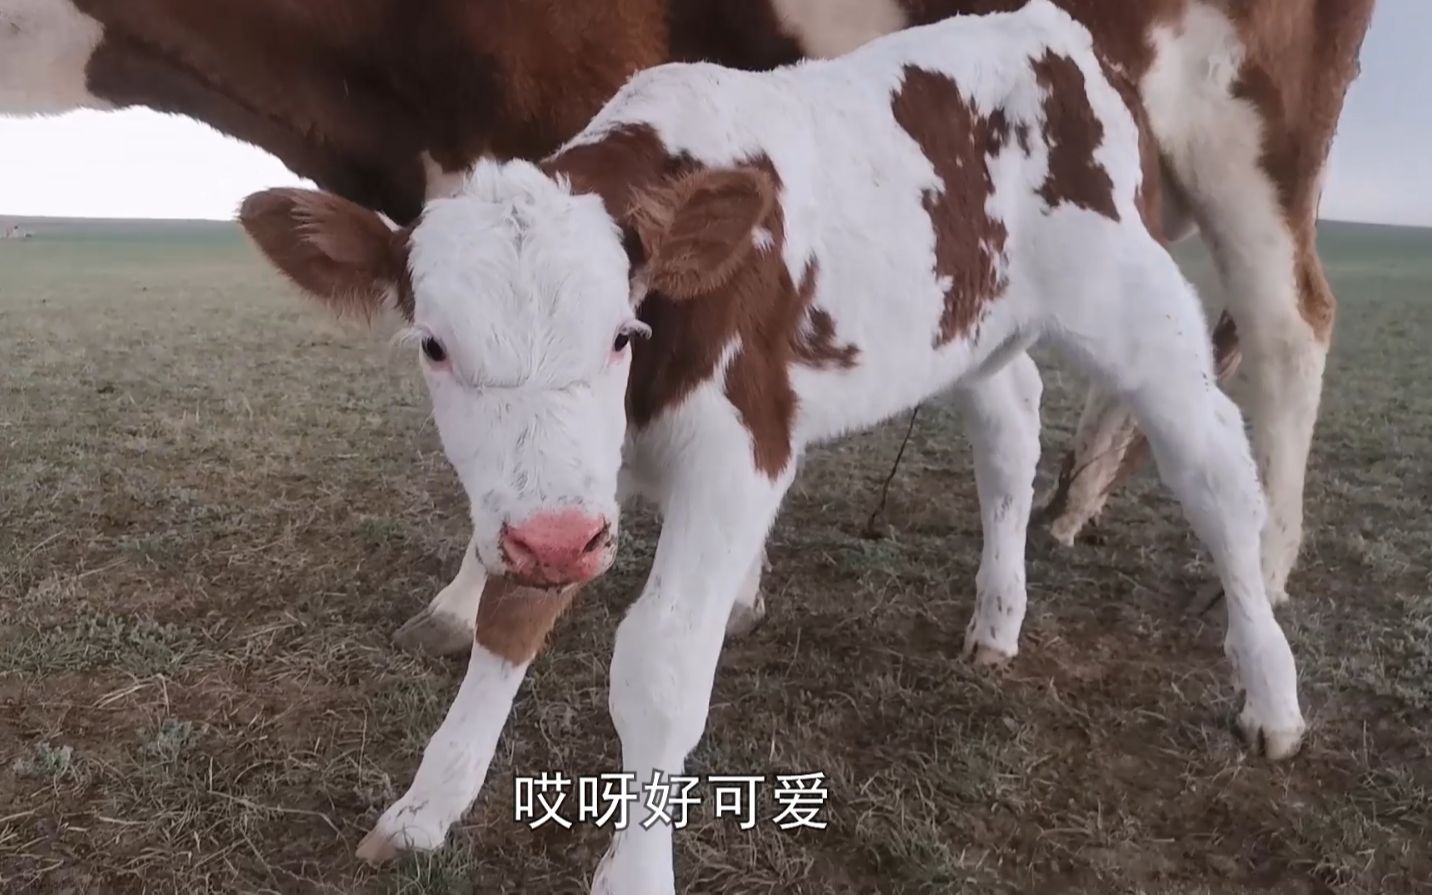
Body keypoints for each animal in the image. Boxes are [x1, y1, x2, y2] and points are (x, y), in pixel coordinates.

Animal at [2, 0, 1386, 650]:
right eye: (429, 343)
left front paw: (472, 593)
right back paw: (1069, 512)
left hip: (1249, 133)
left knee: (1285, 326)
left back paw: (1262, 570)